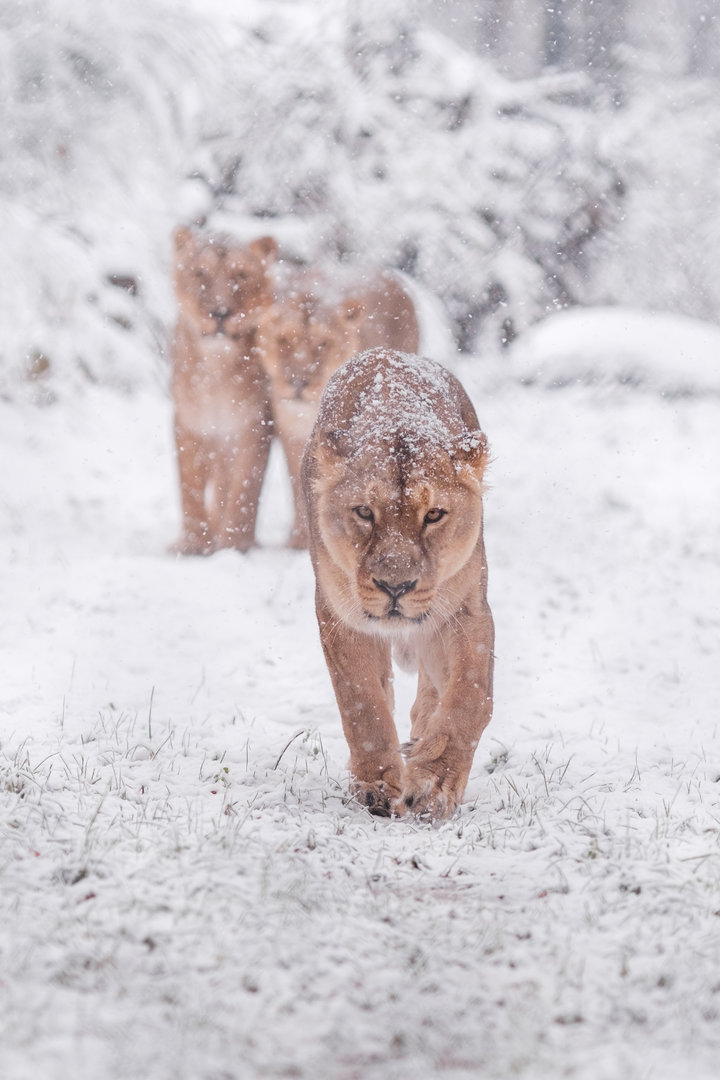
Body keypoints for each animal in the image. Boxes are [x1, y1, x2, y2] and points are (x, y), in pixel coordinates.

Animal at [170, 226, 278, 554]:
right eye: (200, 274)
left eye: (239, 275)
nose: (219, 313)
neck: (218, 372)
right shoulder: (189, 424)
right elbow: (190, 486)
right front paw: (194, 543)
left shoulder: (255, 427)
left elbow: (244, 489)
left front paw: (235, 543)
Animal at [257, 271, 419, 548]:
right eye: (284, 339)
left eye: (323, 343)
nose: (298, 383)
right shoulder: (291, 432)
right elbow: (300, 485)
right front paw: (300, 538)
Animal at [301, 347, 494, 820]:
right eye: (364, 512)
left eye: (434, 515)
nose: (395, 587)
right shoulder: (340, 616)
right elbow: (362, 704)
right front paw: (376, 786)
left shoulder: (466, 609)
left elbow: (470, 696)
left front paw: (434, 782)